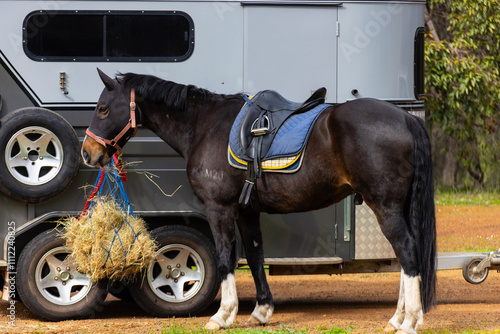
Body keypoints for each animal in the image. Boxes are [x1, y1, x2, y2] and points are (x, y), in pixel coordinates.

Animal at [82, 69, 434, 332]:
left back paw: (409, 321)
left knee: (407, 251)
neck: (206, 126)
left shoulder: (220, 209)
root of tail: (406, 118)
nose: (88, 152)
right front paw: (261, 311)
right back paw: (398, 318)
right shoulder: (246, 212)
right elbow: (253, 256)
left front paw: (222, 315)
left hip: (385, 206)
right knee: (407, 255)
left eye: (102, 108)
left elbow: (226, 258)